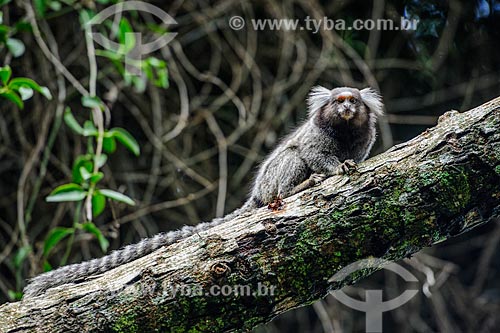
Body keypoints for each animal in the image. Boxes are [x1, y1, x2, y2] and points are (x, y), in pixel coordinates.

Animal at [22, 84, 382, 296]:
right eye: (339, 102)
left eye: (353, 102)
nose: (347, 109)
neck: (344, 132)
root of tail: (257, 194)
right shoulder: (316, 137)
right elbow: (312, 153)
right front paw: (334, 169)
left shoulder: (364, 140)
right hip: (270, 184)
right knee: (288, 164)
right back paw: (298, 187)